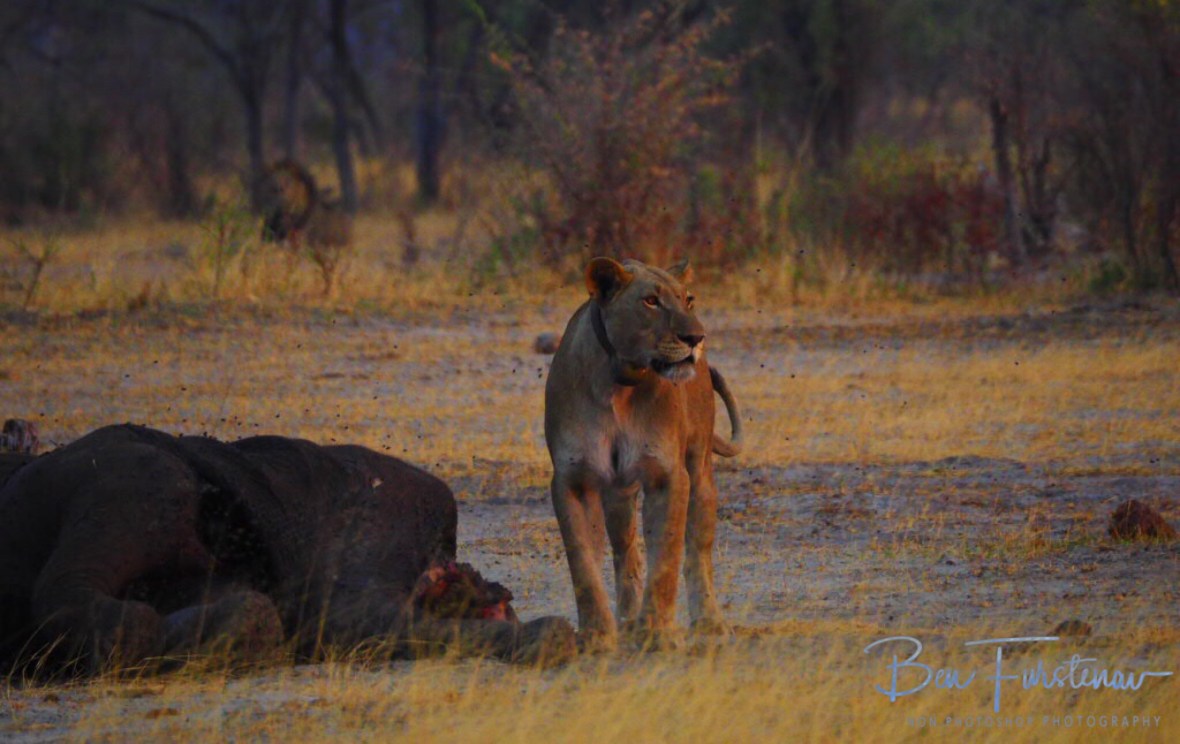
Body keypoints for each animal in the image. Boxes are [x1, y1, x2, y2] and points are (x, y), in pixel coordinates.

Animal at [544, 257, 741, 649]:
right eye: (651, 301)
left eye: (688, 299)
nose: (696, 338)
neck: (619, 384)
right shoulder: (573, 480)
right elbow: (583, 563)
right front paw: (597, 635)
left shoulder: (668, 476)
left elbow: (666, 558)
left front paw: (658, 634)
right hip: (617, 495)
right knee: (627, 553)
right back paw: (627, 621)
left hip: (700, 474)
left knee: (698, 551)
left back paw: (709, 621)